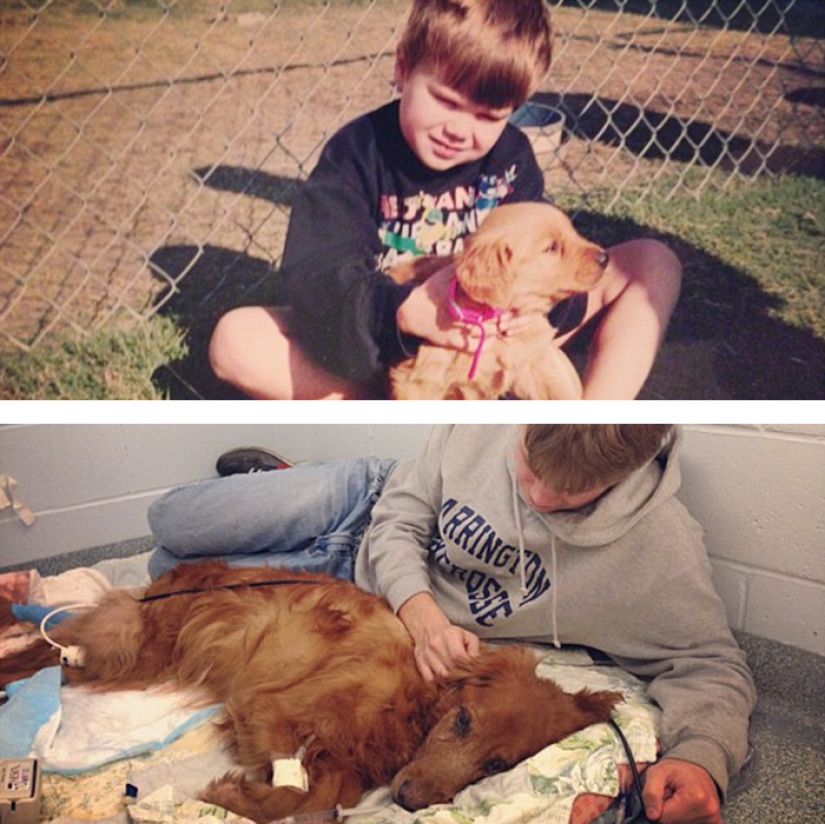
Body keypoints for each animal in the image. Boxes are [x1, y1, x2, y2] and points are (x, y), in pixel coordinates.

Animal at [35, 560, 620, 824]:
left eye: (497, 765)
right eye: (462, 721)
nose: (408, 801)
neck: (409, 704)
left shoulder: (340, 761)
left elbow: (319, 798)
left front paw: (240, 795)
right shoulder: (265, 707)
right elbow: (294, 793)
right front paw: (229, 795)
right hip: (138, 648)